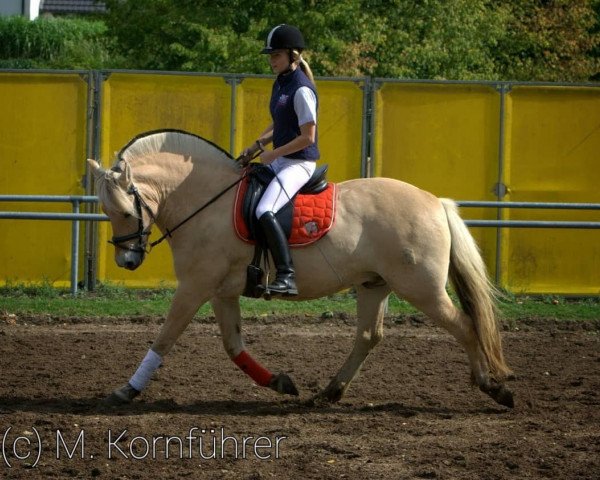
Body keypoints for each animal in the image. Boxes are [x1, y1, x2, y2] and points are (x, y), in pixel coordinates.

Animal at [90, 128, 516, 408]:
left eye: (125, 211)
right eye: (106, 212)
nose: (128, 261)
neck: (207, 200)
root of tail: (435, 202)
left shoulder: (194, 286)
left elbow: (165, 337)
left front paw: (127, 389)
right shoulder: (221, 291)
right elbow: (233, 346)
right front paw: (280, 383)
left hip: (421, 289)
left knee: (465, 326)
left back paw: (493, 387)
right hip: (374, 285)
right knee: (368, 337)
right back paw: (328, 393)